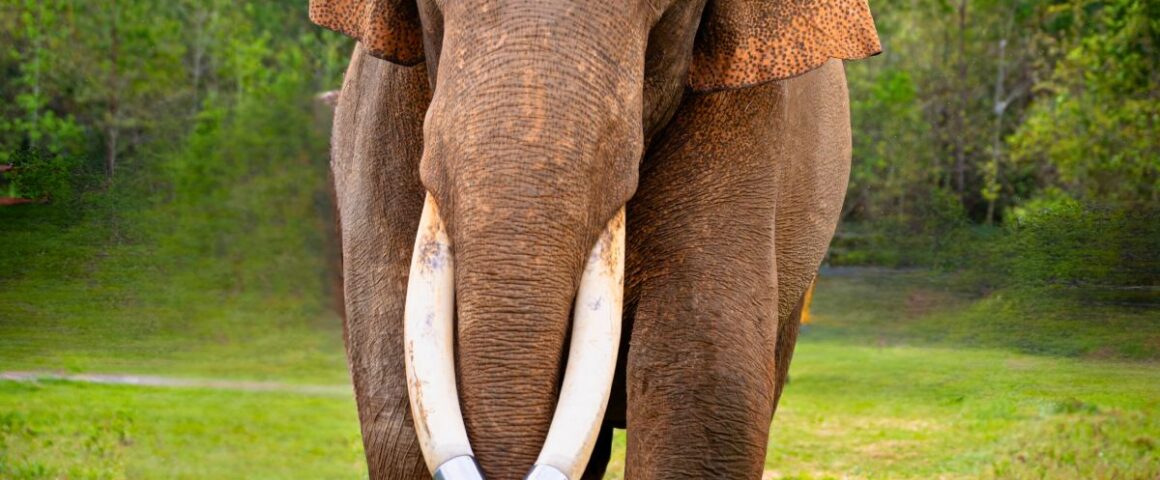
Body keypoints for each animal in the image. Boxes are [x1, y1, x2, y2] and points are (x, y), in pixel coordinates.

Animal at [312, 1, 879, 478]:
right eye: (431, 6)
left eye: (667, 10)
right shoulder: (380, 114)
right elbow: (393, 405)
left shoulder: (748, 120)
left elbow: (701, 394)